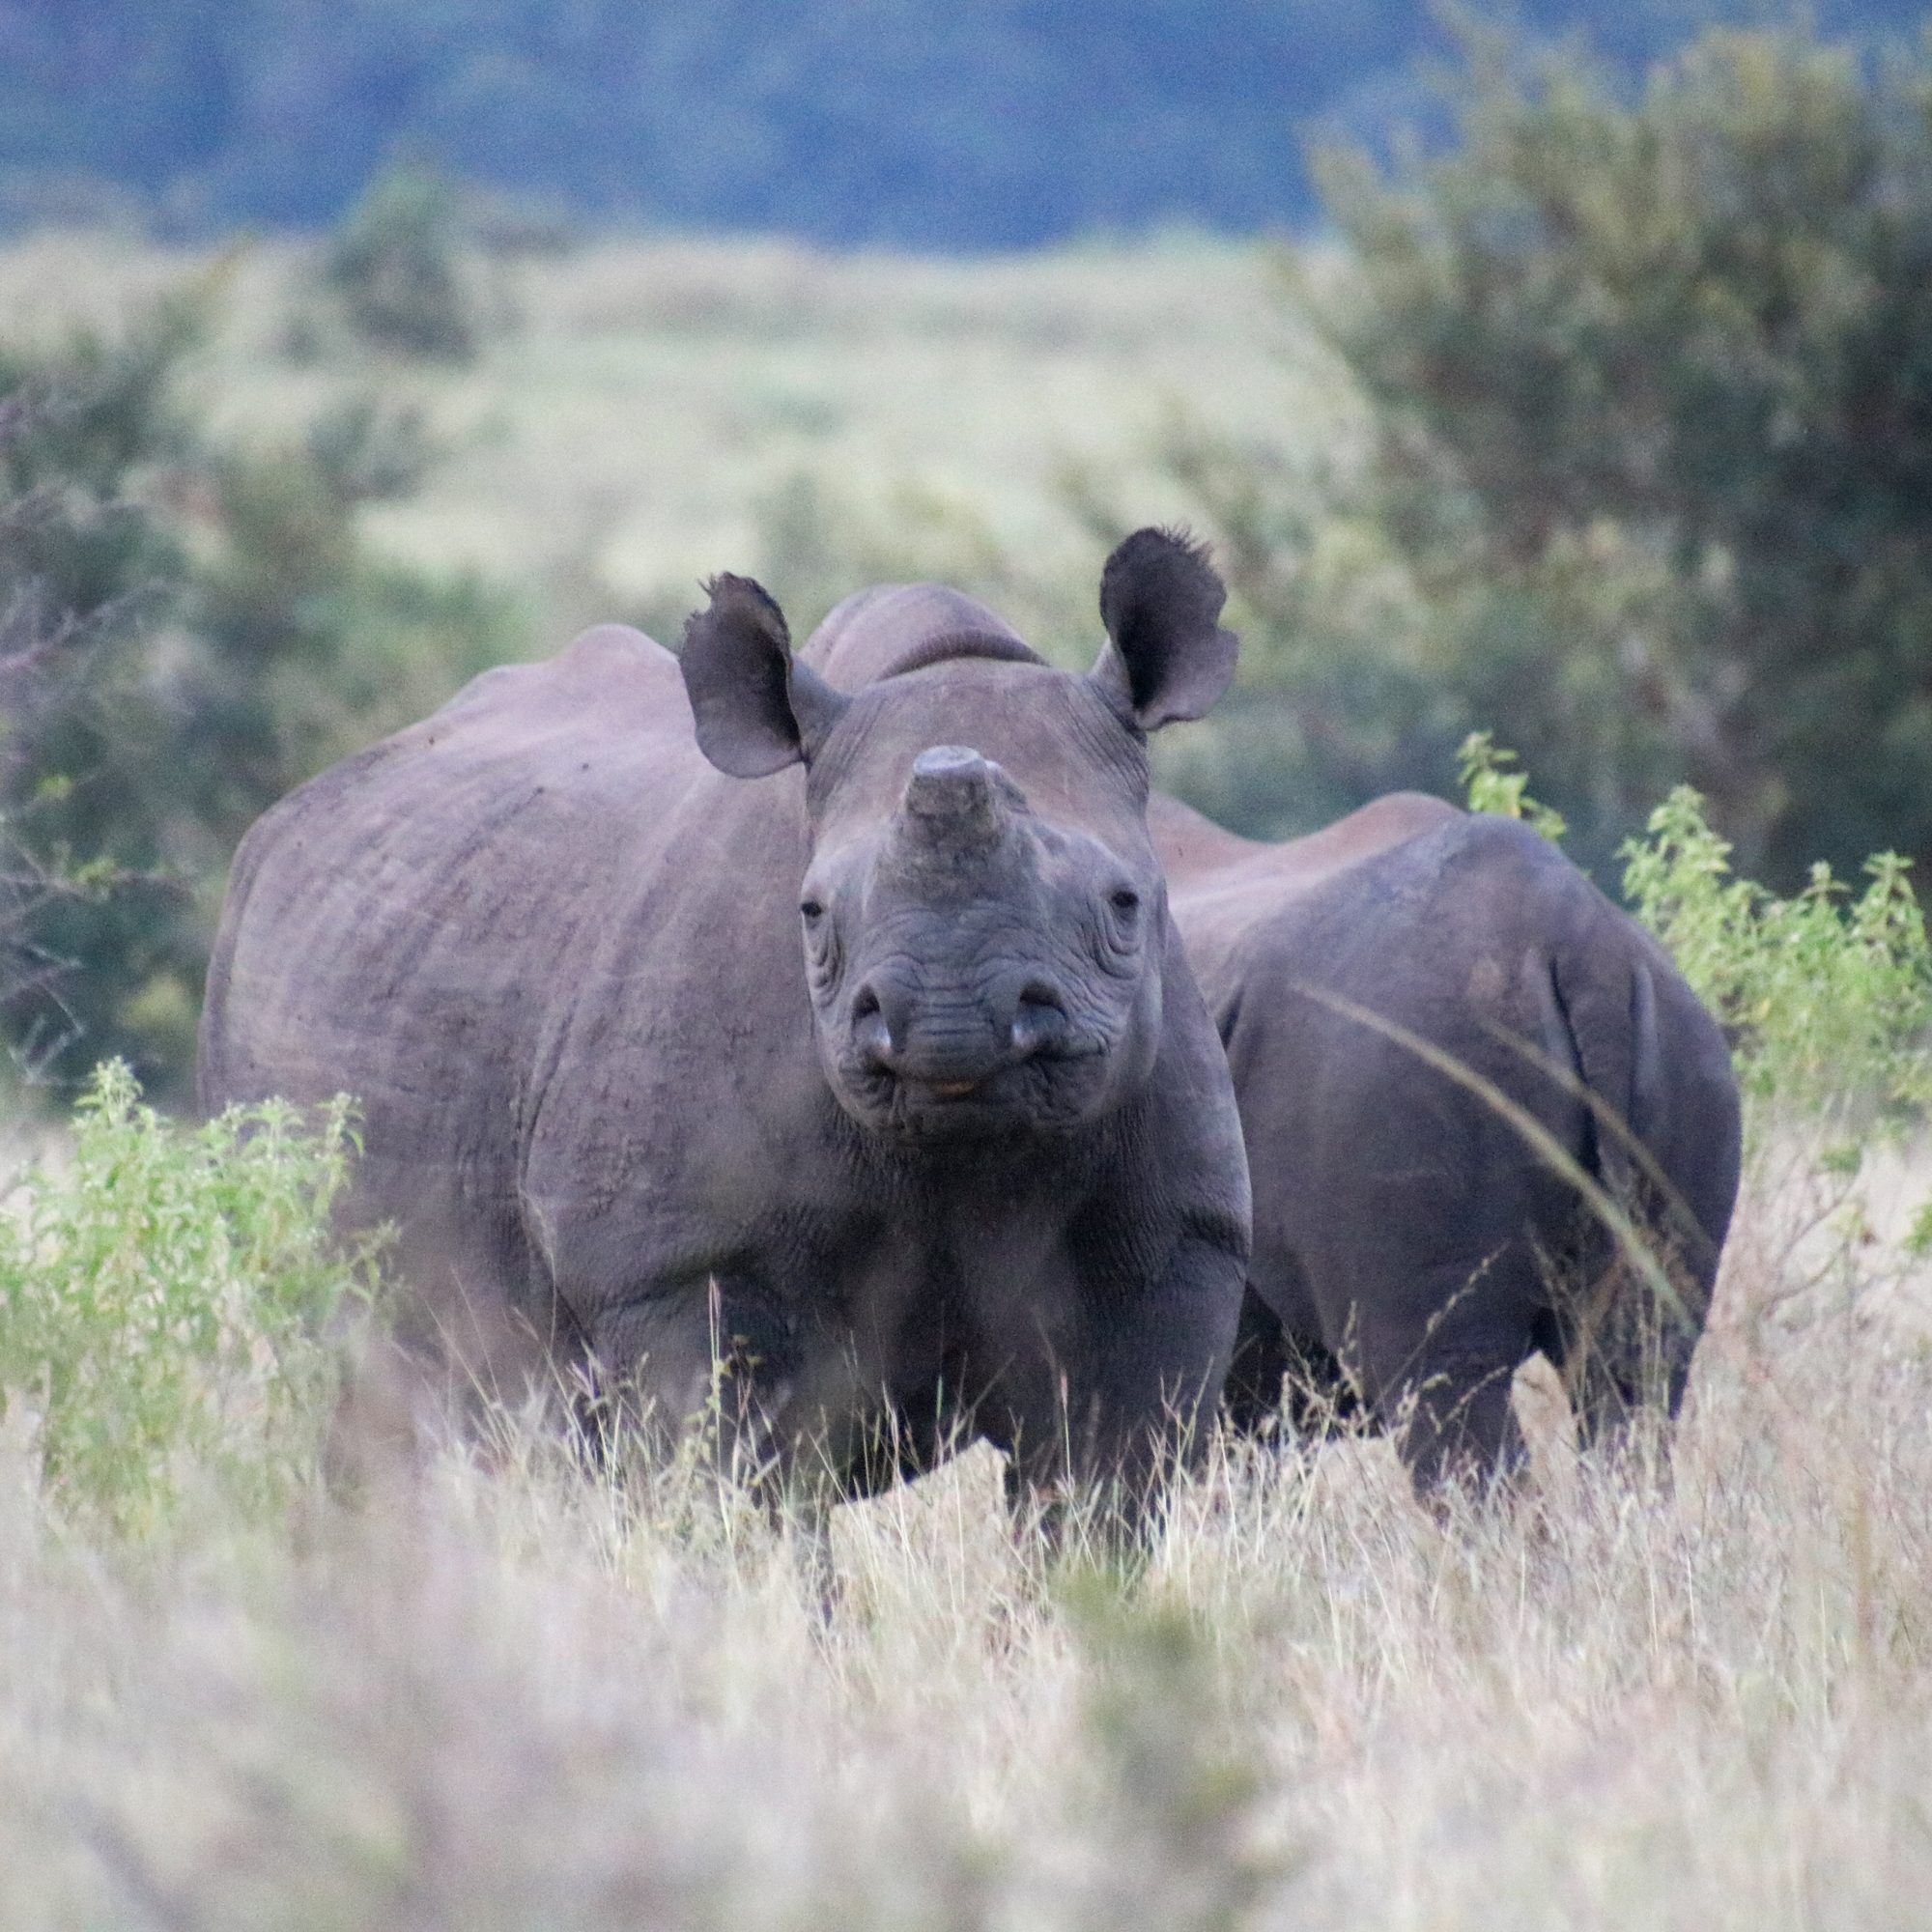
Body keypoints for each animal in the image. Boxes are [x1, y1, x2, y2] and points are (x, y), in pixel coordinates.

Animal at [198, 530, 1253, 1542]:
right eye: (812, 914)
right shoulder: (676, 1270)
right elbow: (741, 1500)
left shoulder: (1169, 1249)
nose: (951, 1020)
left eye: (1125, 903)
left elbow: (1099, 1501)